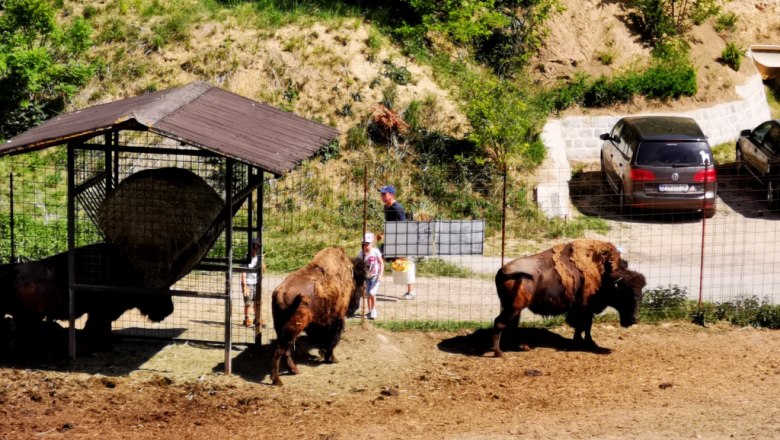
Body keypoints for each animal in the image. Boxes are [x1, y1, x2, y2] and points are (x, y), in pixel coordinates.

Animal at [0, 242, 174, 356]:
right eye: (160, 288)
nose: (170, 309)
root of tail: (15, 271)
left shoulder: (100, 314)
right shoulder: (102, 312)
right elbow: (95, 328)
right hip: (30, 316)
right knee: (25, 331)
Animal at [270, 248, 368, 384]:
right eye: (360, 281)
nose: (356, 304)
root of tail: (281, 292)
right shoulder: (337, 319)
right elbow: (332, 341)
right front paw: (332, 359)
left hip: (281, 327)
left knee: (286, 350)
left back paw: (294, 371)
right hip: (292, 328)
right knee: (280, 350)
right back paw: (277, 380)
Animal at [494, 241, 644, 358]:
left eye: (640, 295)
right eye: (626, 294)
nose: (634, 319)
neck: (605, 274)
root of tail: (503, 270)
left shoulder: (585, 310)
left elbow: (585, 326)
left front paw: (585, 341)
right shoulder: (584, 308)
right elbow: (584, 325)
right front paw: (584, 342)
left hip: (514, 309)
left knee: (511, 325)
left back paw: (522, 346)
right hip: (513, 308)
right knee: (500, 323)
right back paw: (499, 353)